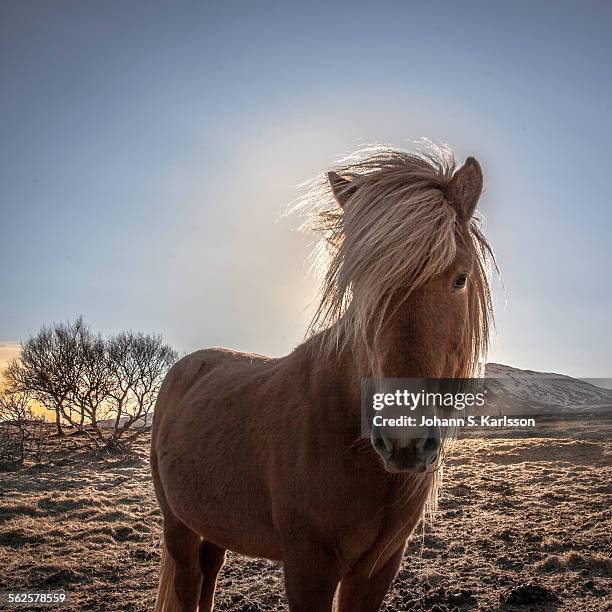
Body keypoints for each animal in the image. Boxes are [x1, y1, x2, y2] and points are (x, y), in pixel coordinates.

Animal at [152, 145, 498, 612]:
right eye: (359, 287)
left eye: (460, 279)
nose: (403, 439)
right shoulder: (308, 565)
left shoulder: (378, 566)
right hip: (178, 523)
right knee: (189, 579)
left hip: (213, 520)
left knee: (209, 570)